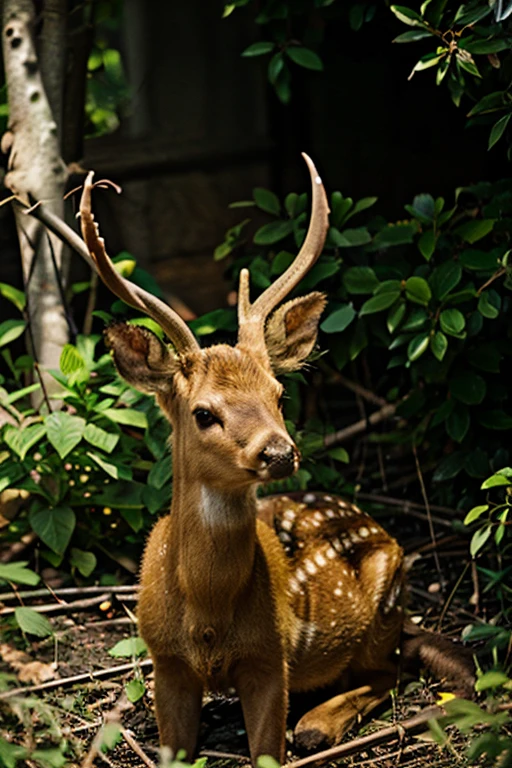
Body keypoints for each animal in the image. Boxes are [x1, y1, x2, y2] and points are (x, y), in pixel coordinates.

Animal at [77, 156, 476, 760]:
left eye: (279, 395)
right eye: (203, 412)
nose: (279, 452)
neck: (208, 615)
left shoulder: (271, 656)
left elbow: (270, 748)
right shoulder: (165, 662)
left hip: (389, 597)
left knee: (392, 670)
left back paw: (319, 722)